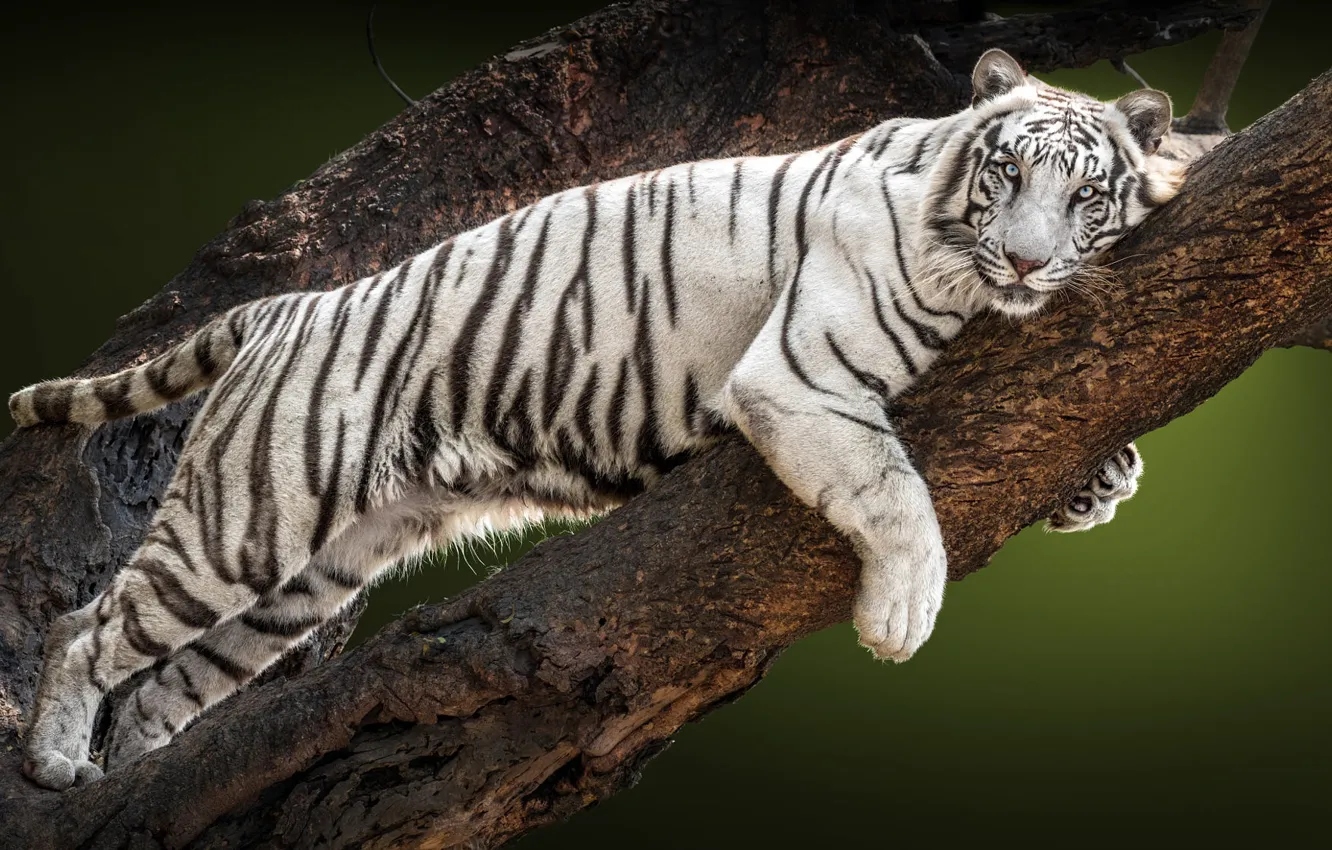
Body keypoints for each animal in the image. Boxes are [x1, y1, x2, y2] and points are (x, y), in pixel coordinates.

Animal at [9, 49, 1182, 790]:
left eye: (1086, 196)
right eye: (1008, 174)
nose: (1025, 260)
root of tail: (288, 303)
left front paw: (1104, 475)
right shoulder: (800, 373)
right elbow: (896, 491)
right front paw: (902, 616)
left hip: (309, 575)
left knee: (163, 692)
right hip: (252, 513)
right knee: (88, 628)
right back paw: (58, 762)